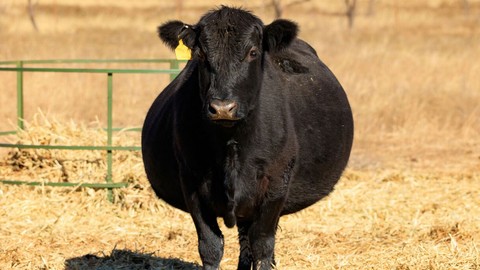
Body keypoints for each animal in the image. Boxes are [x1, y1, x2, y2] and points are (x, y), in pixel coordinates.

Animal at [142, 6, 352, 270]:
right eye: (200, 54)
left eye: (252, 52)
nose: (222, 107)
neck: (231, 143)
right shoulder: (191, 183)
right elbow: (211, 246)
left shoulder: (276, 184)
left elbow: (262, 245)